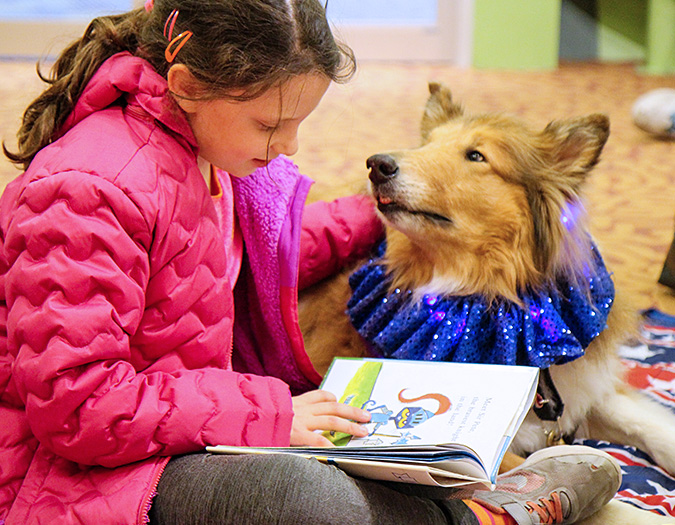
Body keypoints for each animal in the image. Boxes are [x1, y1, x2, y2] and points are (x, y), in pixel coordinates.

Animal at [300, 83, 675, 524]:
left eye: (476, 155)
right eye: (426, 145)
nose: (376, 165)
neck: (491, 293)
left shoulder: (582, 383)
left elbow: (653, 426)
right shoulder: (481, 452)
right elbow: (610, 501)